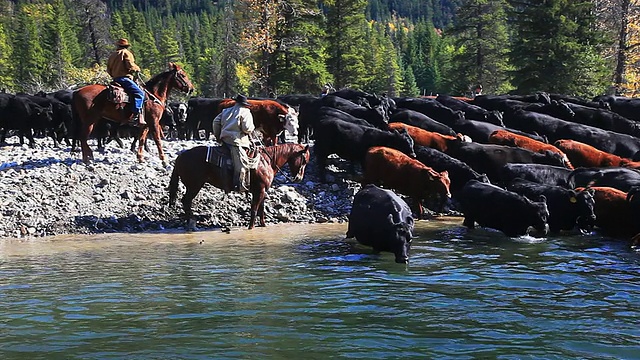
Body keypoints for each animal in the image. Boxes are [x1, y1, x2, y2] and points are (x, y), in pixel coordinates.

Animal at [169, 143, 312, 229]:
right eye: (304, 160)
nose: (299, 178)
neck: (267, 161)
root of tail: (181, 156)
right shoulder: (259, 191)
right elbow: (254, 209)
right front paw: (251, 227)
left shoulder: (262, 191)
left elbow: (261, 209)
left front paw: (263, 225)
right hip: (194, 185)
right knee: (186, 201)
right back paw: (191, 222)